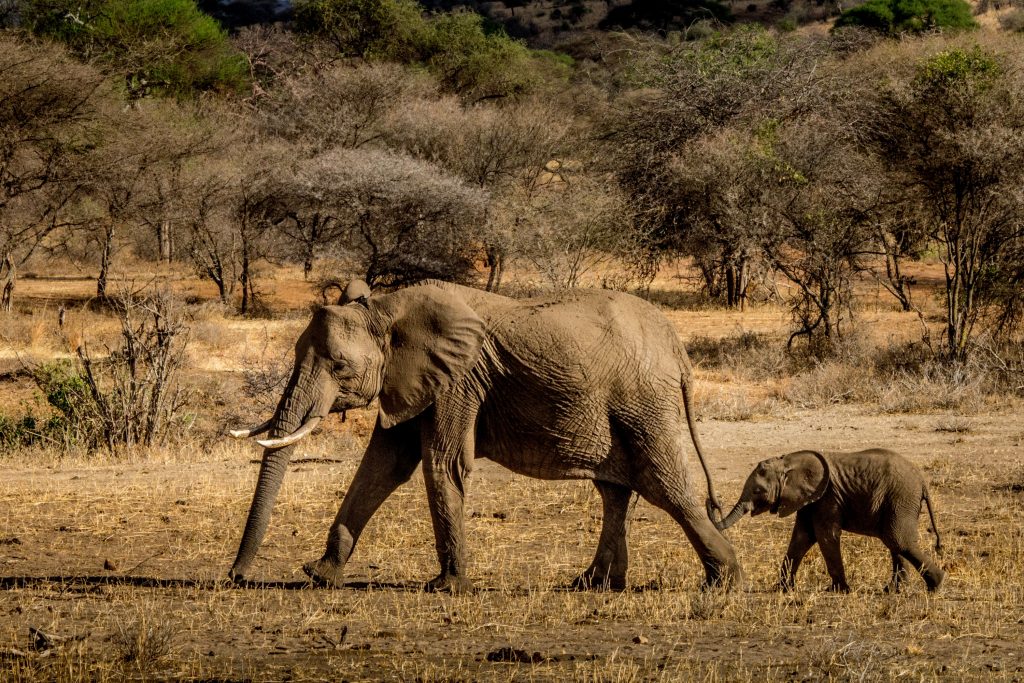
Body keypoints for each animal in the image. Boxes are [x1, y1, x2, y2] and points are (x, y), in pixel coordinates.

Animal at [228, 280, 741, 589]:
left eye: (339, 366)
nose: (238, 577)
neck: (388, 309)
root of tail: (678, 349)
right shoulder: (414, 380)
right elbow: (384, 466)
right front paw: (320, 575)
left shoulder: (458, 380)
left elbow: (443, 464)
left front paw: (446, 588)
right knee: (616, 490)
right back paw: (592, 584)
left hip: (642, 400)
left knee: (664, 485)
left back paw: (724, 581)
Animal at [712, 448, 942, 593]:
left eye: (758, 491)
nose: (713, 504)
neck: (788, 461)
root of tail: (922, 481)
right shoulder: (809, 499)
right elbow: (801, 538)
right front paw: (782, 589)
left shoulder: (827, 497)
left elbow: (825, 536)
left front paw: (838, 590)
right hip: (898, 501)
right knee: (895, 543)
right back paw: (893, 590)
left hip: (900, 497)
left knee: (898, 540)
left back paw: (936, 585)